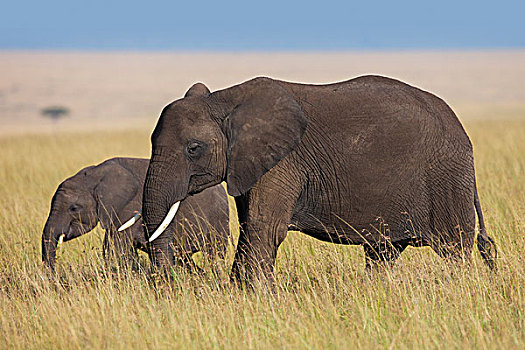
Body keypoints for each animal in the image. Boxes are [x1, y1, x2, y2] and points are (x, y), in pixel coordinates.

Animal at [41, 158, 229, 270]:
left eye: (74, 208)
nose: (53, 278)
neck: (95, 176)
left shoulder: (128, 208)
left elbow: (115, 250)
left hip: (219, 219)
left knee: (215, 253)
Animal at [142, 75, 496, 286]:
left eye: (193, 148)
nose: (168, 285)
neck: (223, 100)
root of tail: (462, 132)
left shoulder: (283, 162)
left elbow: (263, 227)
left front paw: (253, 297)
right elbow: (251, 226)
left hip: (446, 179)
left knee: (454, 249)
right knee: (383, 252)